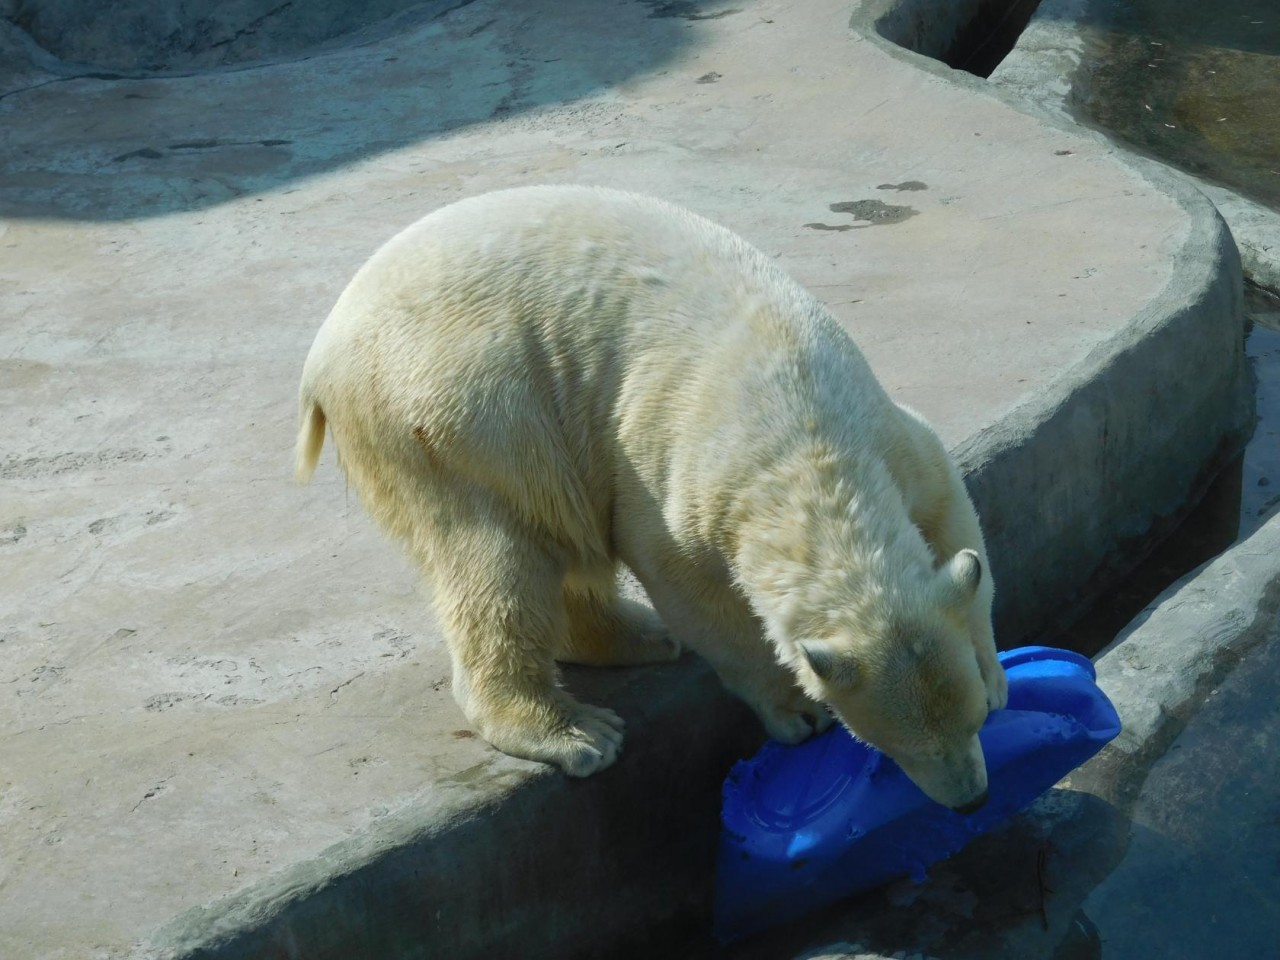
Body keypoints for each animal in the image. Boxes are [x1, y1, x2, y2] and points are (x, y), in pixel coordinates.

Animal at [294, 184, 1003, 808]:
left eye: (971, 722)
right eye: (897, 747)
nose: (970, 799)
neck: (806, 447)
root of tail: (320, 358)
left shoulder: (887, 438)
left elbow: (952, 517)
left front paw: (994, 671)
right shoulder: (686, 483)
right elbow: (690, 588)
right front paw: (796, 710)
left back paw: (641, 637)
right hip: (455, 413)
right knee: (501, 554)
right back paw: (577, 730)